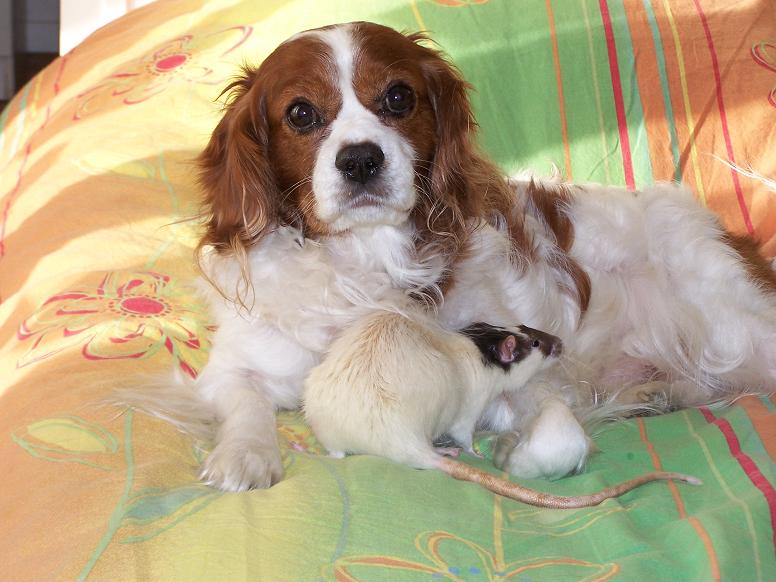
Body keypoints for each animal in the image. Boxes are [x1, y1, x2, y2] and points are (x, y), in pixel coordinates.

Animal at [192, 20, 776, 490]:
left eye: (398, 99)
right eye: (300, 113)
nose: (360, 160)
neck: (366, 262)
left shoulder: (528, 371)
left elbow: (559, 434)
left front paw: (514, 455)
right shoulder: (235, 363)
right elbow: (243, 396)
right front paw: (245, 456)